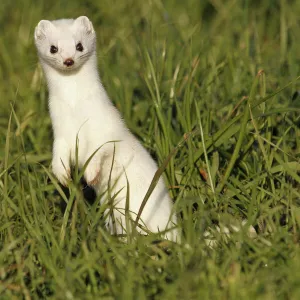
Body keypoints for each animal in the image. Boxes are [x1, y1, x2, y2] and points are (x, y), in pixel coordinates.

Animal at [34, 16, 177, 241]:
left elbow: (101, 149)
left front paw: (91, 173)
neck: (75, 108)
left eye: (79, 45)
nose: (68, 60)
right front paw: (63, 175)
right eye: (53, 48)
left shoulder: (104, 128)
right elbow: (59, 153)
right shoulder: (61, 130)